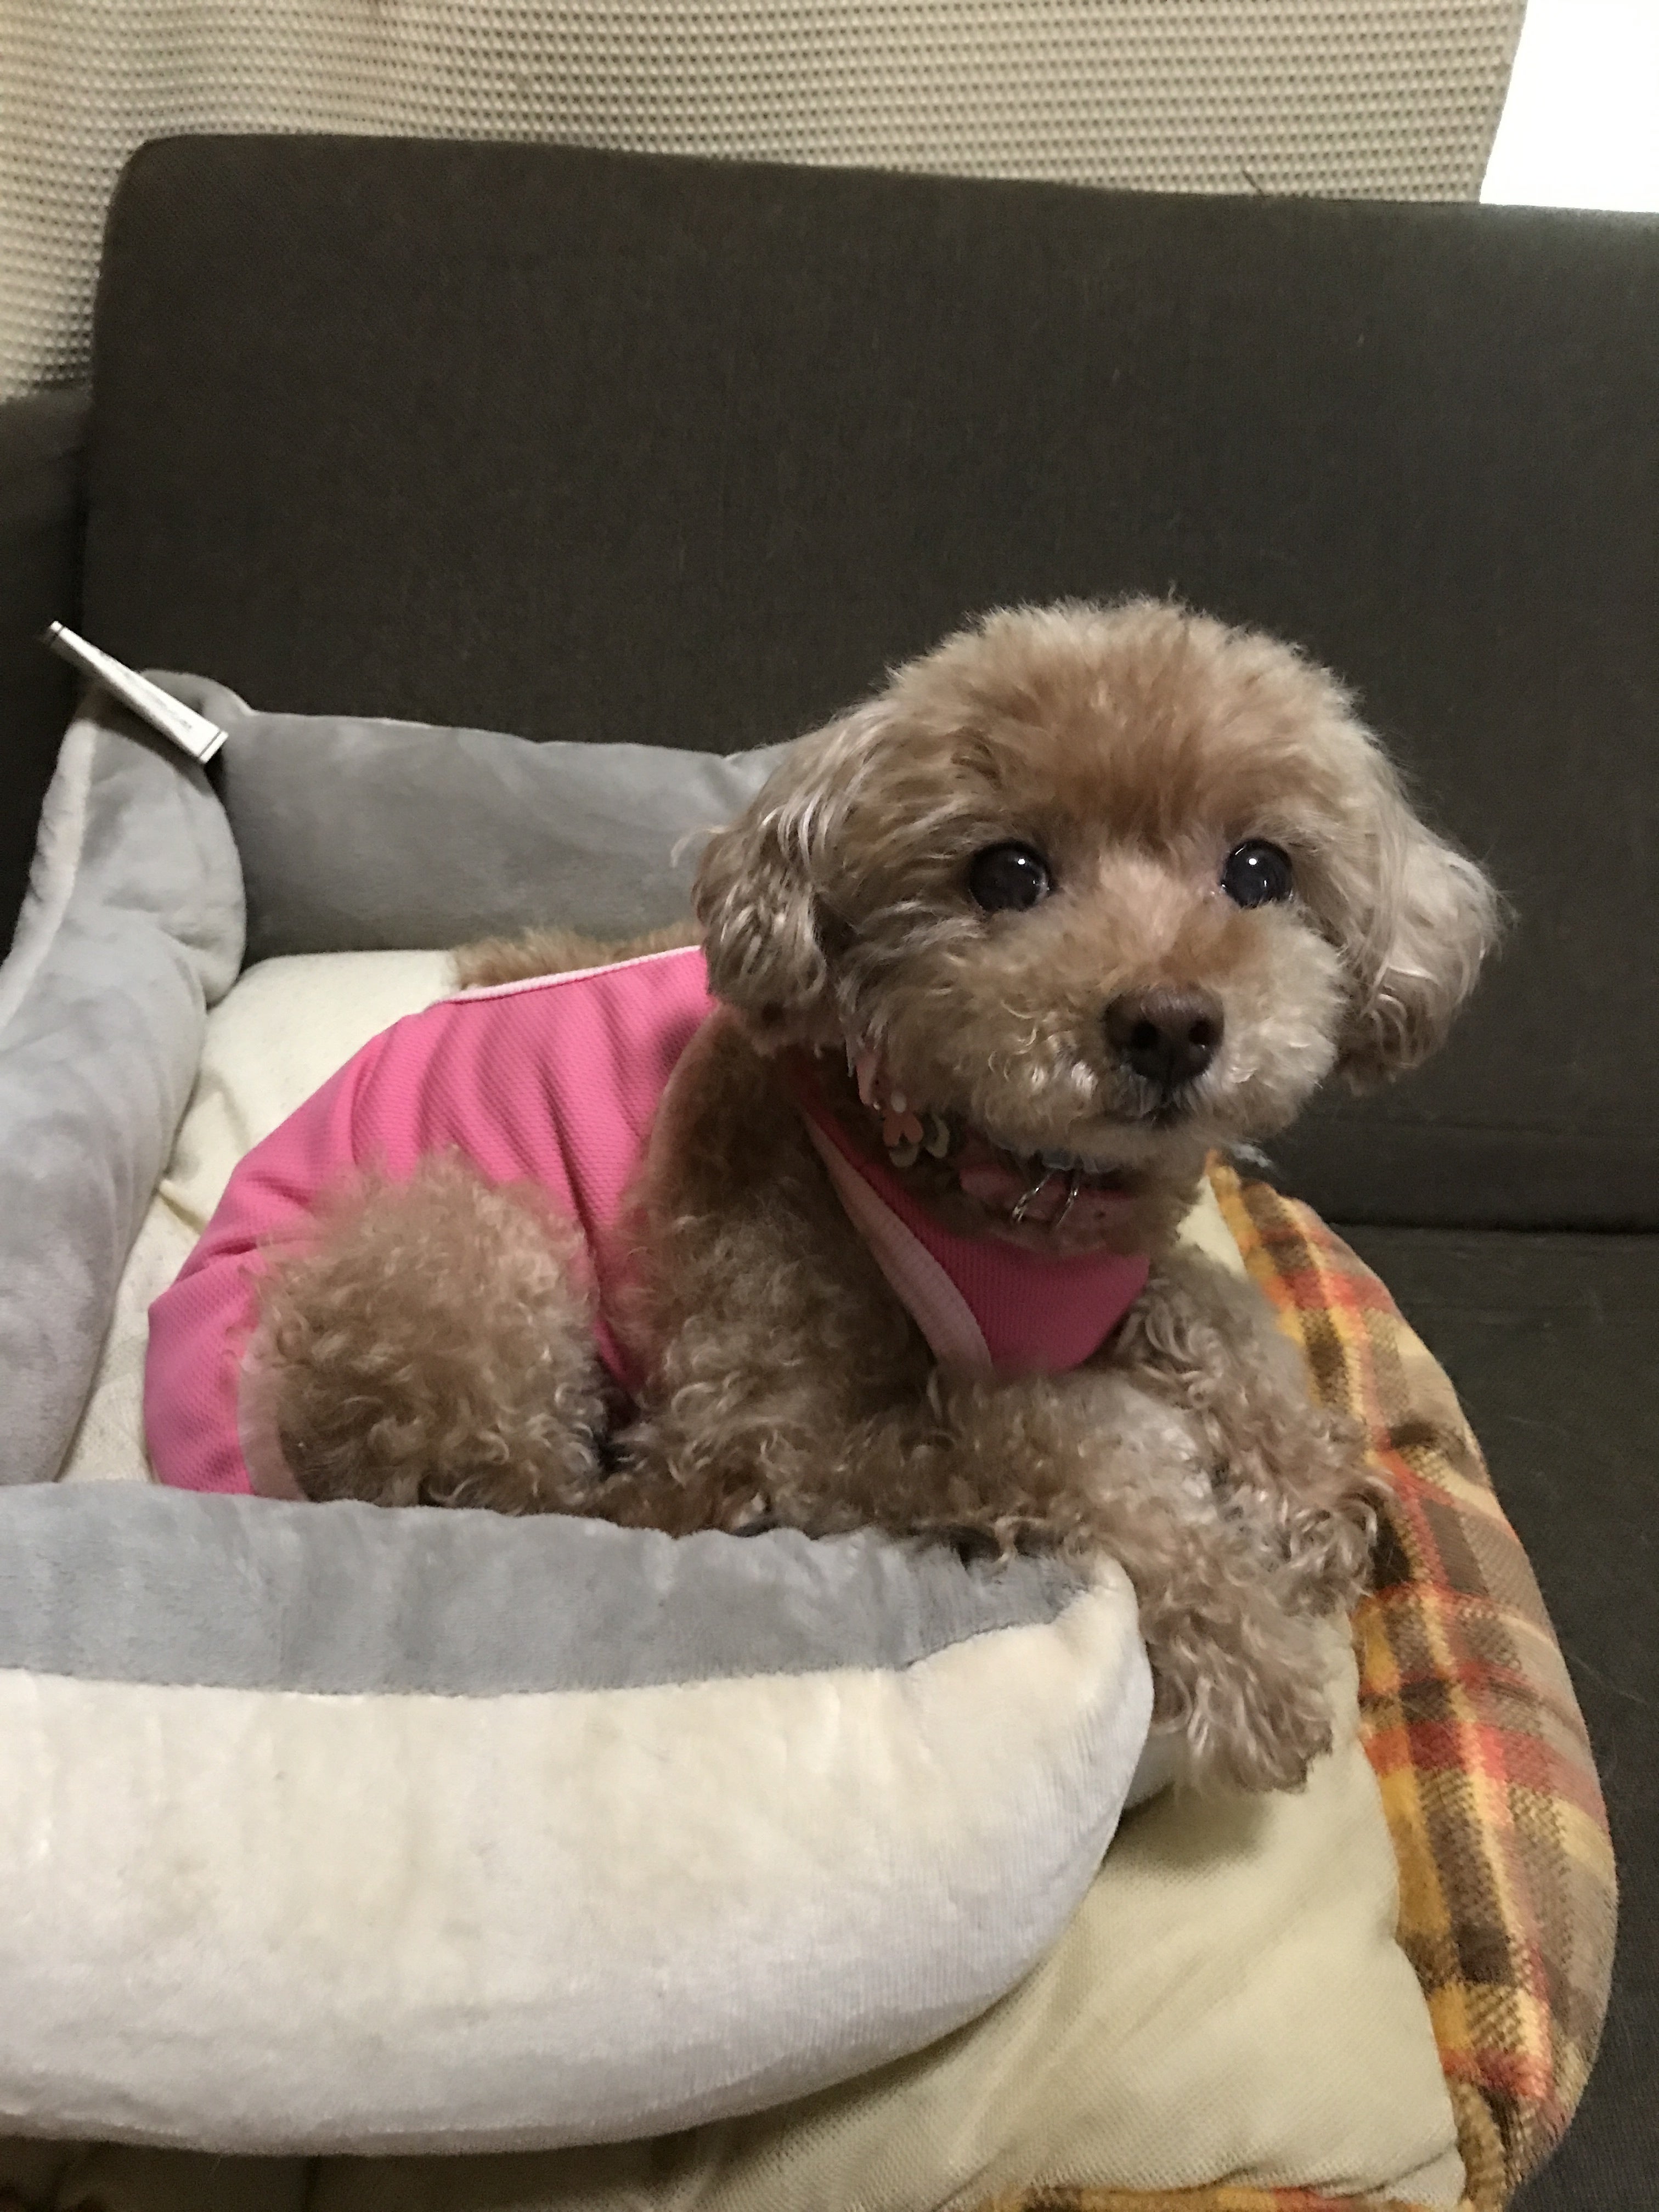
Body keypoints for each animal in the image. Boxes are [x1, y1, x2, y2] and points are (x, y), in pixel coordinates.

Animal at [145, 599, 1498, 1792]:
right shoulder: (761, 1422)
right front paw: (1239, 1633)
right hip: (468, 1258)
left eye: (1260, 870)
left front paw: (1312, 1486)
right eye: (1006, 873)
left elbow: (1216, 1310)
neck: (1000, 1178)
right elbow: (1042, 1432)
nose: (1168, 1027)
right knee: (574, 1499)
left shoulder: (1119, 1275)